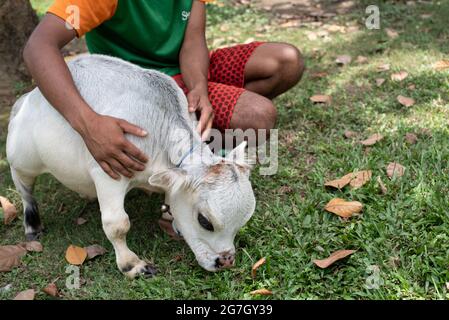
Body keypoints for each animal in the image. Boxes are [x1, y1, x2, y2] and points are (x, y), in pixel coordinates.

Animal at [6, 55, 256, 278]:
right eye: (205, 221)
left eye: (242, 222)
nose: (225, 261)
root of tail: (26, 99)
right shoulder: (108, 173)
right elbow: (117, 225)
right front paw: (131, 265)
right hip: (22, 159)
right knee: (24, 187)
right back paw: (32, 224)